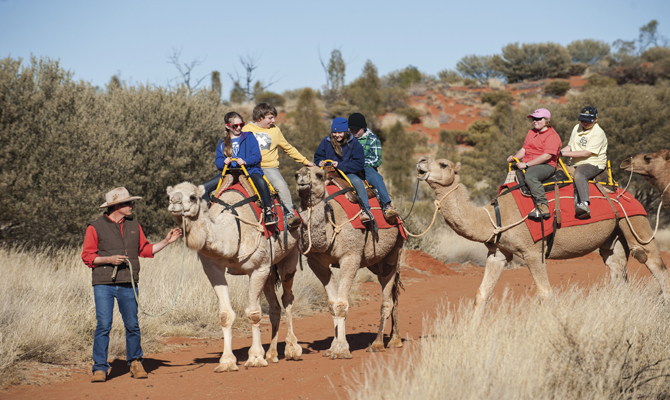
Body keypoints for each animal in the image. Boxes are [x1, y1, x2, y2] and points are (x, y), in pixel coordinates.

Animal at [165, 183, 302, 374]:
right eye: (168, 196)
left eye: (192, 197)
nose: (174, 203)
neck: (233, 230)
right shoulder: (213, 269)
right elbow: (225, 315)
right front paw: (227, 362)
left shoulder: (258, 268)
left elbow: (254, 313)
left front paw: (255, 358)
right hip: (269, 270)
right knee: (275, 307)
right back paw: (272, 354)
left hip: (289, 256)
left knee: (287, 297)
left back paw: (292, 349)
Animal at [298, 166, 404, 360]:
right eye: (295, 174)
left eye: (318, 174)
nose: (302, 177)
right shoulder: (316, 263)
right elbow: (332, 305)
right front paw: (332, 347)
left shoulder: (350, 256)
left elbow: (341, 305)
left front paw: (341, 349)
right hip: (375, 263)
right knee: (393, 296)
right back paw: (395, 339)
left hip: (394, 252)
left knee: (387, 300)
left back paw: (378, 344)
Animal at [418, 156, 670, 316]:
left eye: (443, 164)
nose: (420, 162)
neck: (495, 217)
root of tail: (624, 192)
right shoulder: (498, 252)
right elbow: (482, 293)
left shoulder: (532, 251)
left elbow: (545, 293)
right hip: (613, 236)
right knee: (617, 269)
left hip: (635, 221)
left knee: (655, 264)